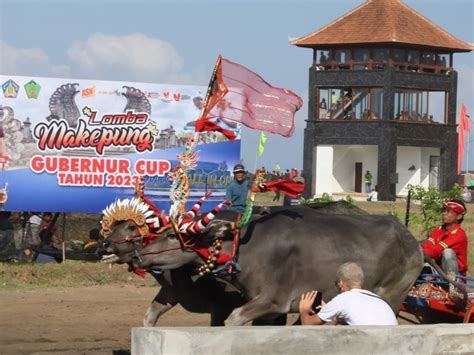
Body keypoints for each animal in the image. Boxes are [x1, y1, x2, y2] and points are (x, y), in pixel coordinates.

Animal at [136, 207, 422, 326]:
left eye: (172, 235)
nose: (140, 254)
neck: (246, 248)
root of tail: (411, 240)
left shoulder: (273, 301)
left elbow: (234, 319)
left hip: (393, 296)